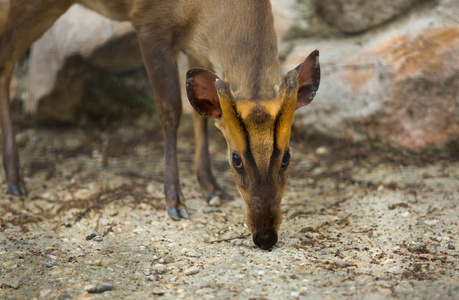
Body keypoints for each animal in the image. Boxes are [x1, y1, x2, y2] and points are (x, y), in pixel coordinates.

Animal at [0, 0, 320, 250]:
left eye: (287, 156)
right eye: (236, 160)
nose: (265, 237)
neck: (202, 11)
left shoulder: (195, 45)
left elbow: (200, 114)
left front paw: (211, 187)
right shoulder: (149, 22)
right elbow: (171, 110)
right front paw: (175, 202)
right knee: (6, 60)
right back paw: (16, 179)